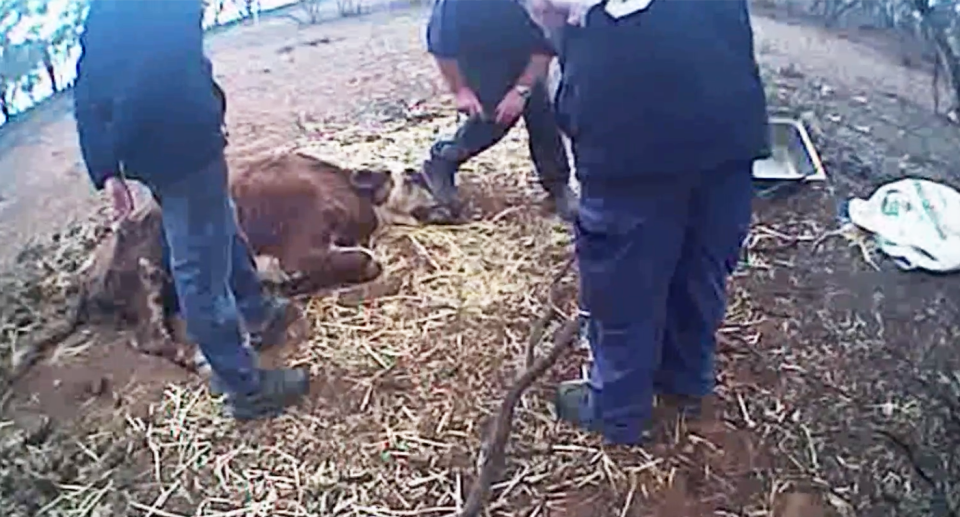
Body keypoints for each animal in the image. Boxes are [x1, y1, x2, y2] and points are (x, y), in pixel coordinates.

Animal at [77, 149, 444, 370]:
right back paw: (198, 357)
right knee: (149, 336)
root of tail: (87, 279)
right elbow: (367, 260)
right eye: (411, 177)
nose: (447, 206)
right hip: (145, 277)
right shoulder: (300, 248)